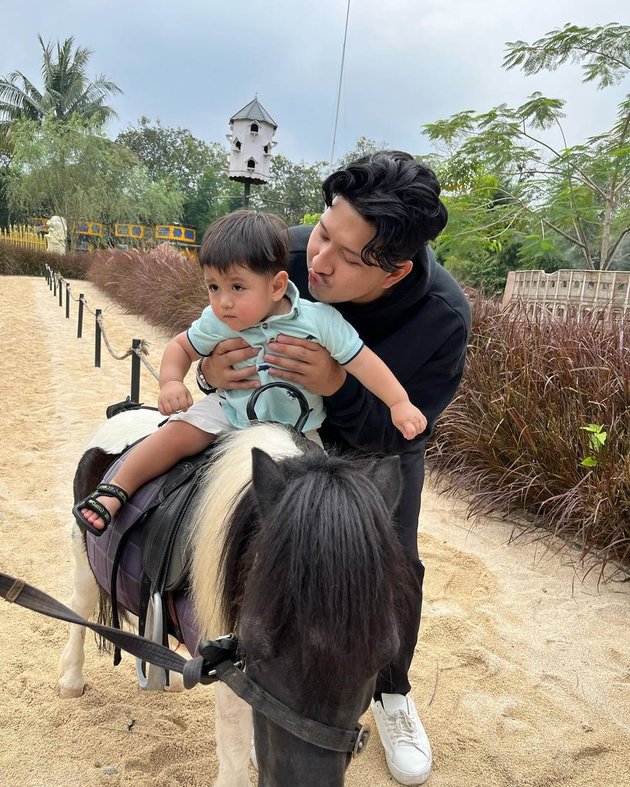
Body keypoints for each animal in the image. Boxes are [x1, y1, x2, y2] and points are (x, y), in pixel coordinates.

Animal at [58, 416, 414, 784]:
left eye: (384, 654)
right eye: (255, 644)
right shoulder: (228, 663)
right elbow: (234, 746)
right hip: (84, 558)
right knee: (79, 606)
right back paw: (71, 680)